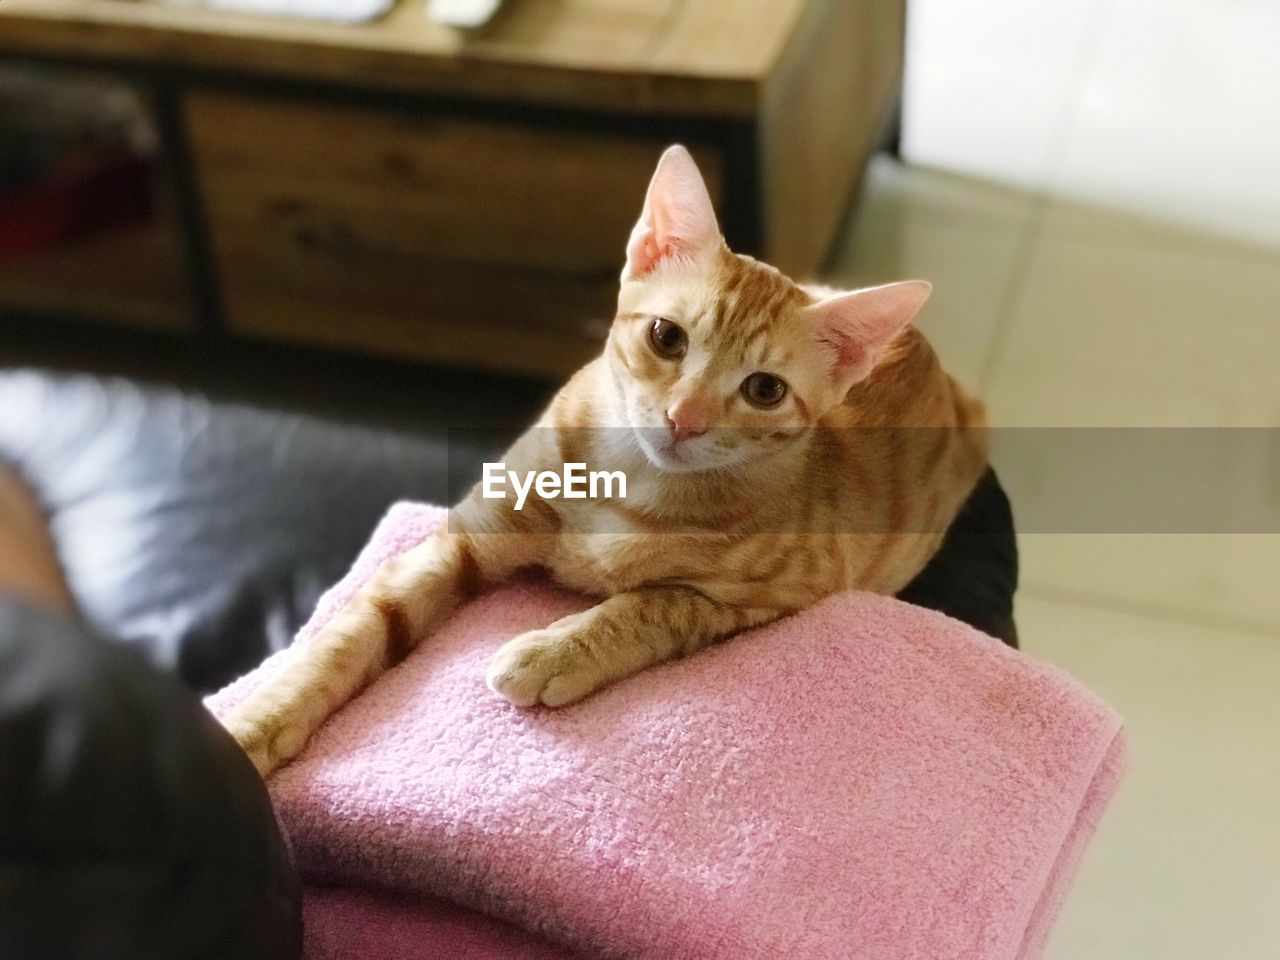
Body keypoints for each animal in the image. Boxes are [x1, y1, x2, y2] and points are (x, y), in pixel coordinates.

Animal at [225, 144, 988, 773]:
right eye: (666, 337)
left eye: (764, 390)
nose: (683, 419)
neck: (629, 486)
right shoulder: (469, 537)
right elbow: (355, 629)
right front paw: (256, 724)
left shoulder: (780, 593)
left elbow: (653, 606)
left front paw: (553, 651)